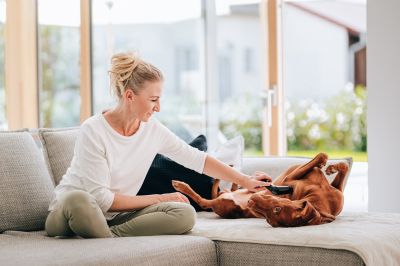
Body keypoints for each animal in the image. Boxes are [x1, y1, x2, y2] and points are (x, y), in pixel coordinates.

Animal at [173, 153, 348, 228]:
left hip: (223, 203)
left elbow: (321, 157)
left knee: (204, 201)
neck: (320, 197)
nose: (251, 202)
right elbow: (339, 164)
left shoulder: (289, 178)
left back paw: (181, 185)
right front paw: (331, 167)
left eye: (275, 212)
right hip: (237, 191)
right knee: (229, 186)